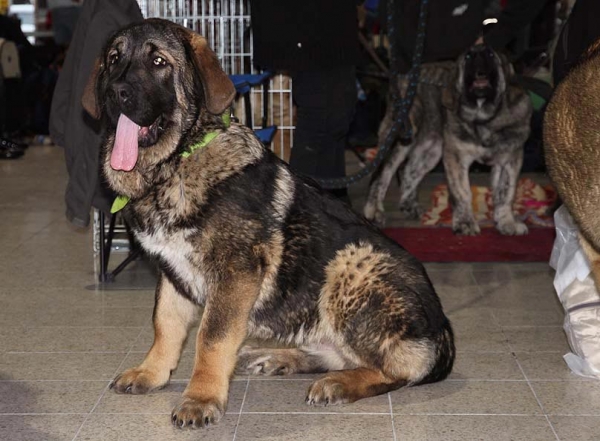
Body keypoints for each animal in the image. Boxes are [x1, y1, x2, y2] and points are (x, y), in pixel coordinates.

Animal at [82, 18, 452, 428]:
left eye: (158, 61)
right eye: (113, 59)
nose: (116, 92)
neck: (175, 164)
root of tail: (443, 334)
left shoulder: (234, 273)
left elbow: (211, 337)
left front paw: (201, 397)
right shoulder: (172, 275)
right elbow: (165, 326)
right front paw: (153, 373)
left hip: (352, 265)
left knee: (397, 368)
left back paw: (339, 383)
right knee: (338, 353)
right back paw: (278, 357)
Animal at [440, 44, 528, 235]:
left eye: (490, 54)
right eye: (467, 56)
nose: (478, 56)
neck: (484, 117)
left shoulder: (509, 160)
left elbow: (506, 193)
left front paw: (507, 222)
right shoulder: (455, 156)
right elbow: (462, 191)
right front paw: (465, 222)